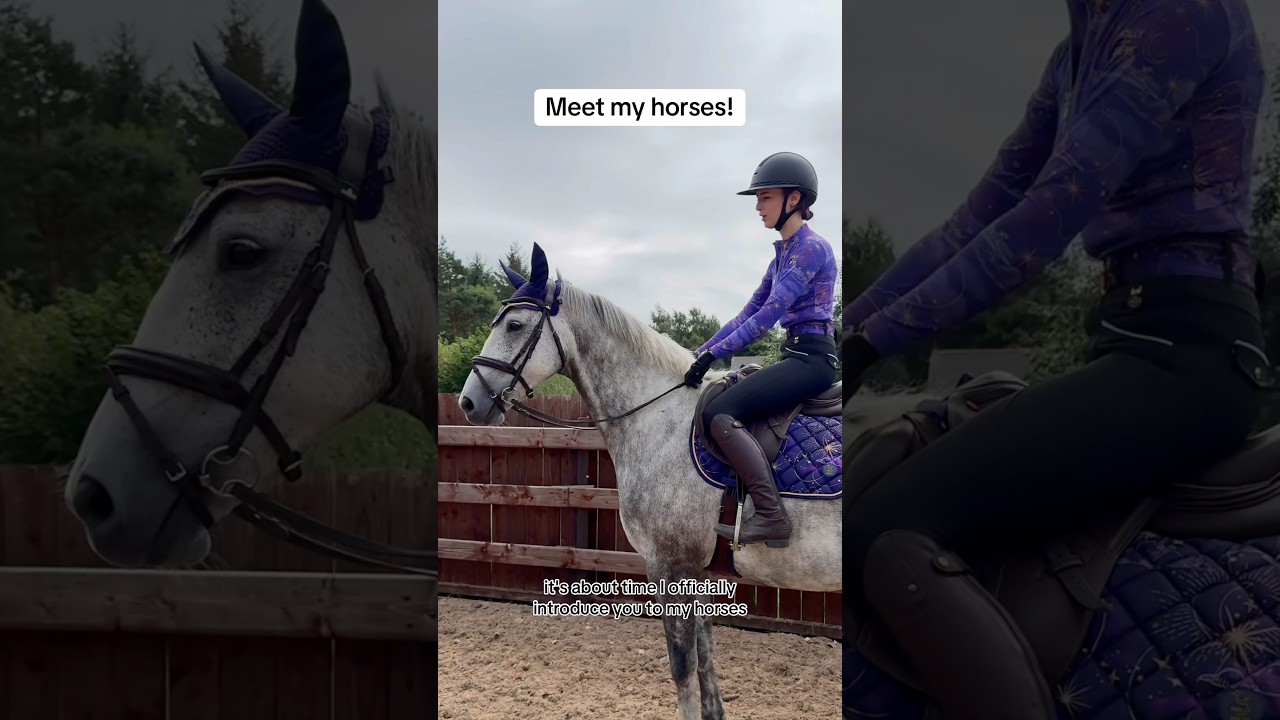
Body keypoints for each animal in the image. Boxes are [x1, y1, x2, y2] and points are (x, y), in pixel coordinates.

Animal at [457, 242, 843, 720]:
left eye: (514, 325)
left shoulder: (669, 567)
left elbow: (682, 667)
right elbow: (705, 663)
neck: (659, 417)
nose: (468, 402)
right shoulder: (697, 575)